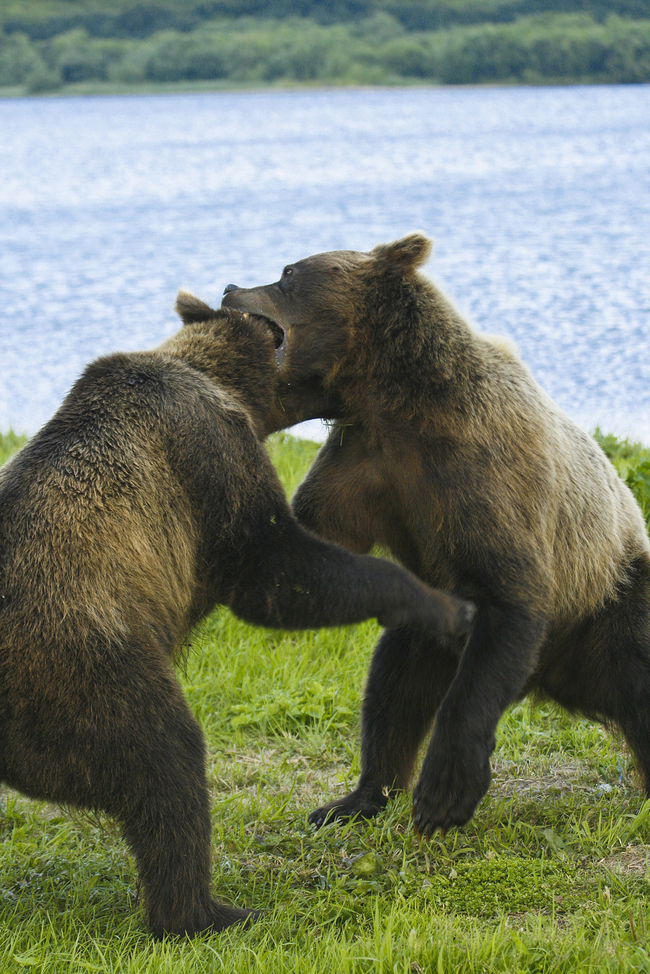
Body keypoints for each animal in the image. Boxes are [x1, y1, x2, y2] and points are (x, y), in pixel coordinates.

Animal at [0, 294, 470, 940]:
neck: (219, 380)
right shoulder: (204, 447)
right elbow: (271, 566)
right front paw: (437, 602)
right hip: (83, 667)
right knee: (165, 763)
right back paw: (210, 912)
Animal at [219, 234, 650, 840]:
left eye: (287, 273)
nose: (230, 286)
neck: (393, 403)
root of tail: (548, 678)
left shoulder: (480, 473)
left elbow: (511, 590)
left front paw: (445, 792)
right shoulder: (362, 466)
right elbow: (299, 546)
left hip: (609, 603)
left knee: (637, 678)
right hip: (433, 634)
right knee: (392, 691)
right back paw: (356, 799)